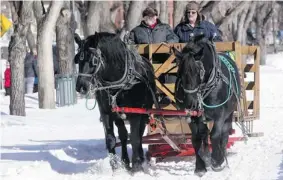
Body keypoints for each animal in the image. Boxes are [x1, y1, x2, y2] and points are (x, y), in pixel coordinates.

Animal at [74, 32, 158, 172]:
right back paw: (125, 161)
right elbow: (111, 139)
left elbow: (135, 138)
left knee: (139, 134)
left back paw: (140, 159)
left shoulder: (136, 113)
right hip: (118, 116)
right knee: (123, 135)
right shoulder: (106, 112)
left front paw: (136, 166)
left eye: (93, 60)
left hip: (145, 113)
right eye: (77, 59)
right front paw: (115, 167)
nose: (80, 87)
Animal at [173, 36, 242, 176]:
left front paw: (217, 161)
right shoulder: (194, 117)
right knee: (204, 133)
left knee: (224, 133)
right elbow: (195, 138)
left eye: (197, 71)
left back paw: (221, 156)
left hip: (229, 114)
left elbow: (215, 135)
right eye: (179, 73)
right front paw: (200, 166)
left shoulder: (220, 114)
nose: (190, 103)